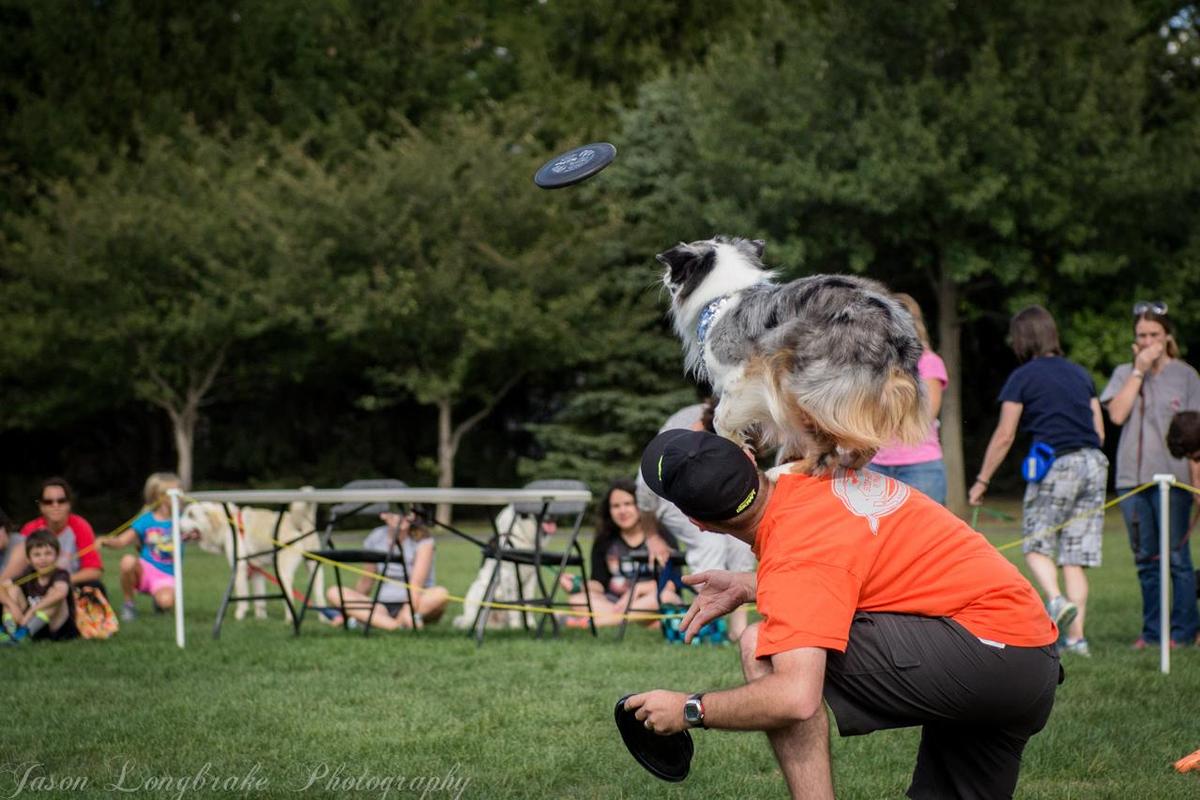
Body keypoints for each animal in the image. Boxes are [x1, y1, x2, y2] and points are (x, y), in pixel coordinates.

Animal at [178, 496, 324, 623]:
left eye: (191, 515)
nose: (177, 527)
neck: (227, 524)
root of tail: (301, 523)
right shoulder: (257, 572)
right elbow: (260, 599)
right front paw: (261, 619)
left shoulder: (239, 568)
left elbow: (242, 596)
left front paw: (239, 616)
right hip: (314, 570)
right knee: (319, 596)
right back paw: (324, 619)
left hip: (283, 573)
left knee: (290, 599)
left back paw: (289, 620)